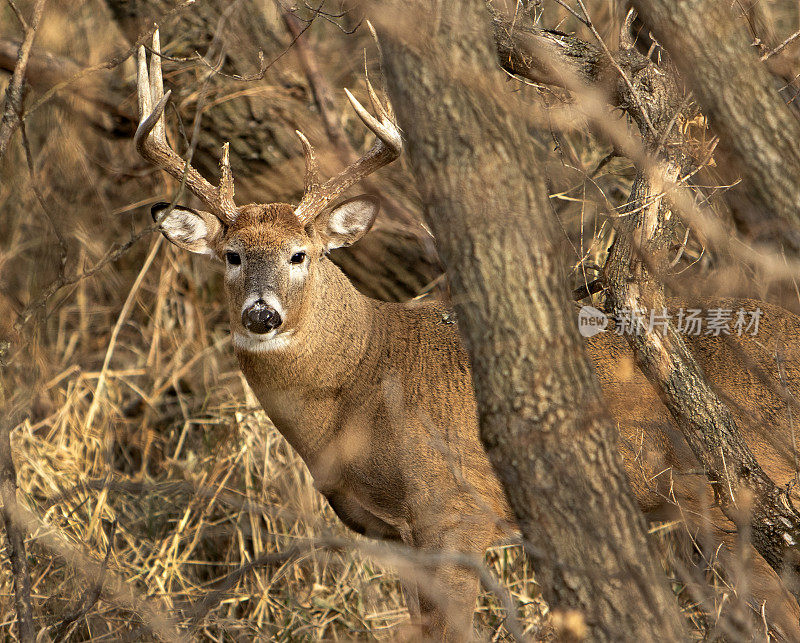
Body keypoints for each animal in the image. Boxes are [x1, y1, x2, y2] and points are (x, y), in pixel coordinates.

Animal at [136, 32, 800, 640]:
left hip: (741, 497)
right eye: (231, 255)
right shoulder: (395, 536)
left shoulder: (453, 515)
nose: (262, 315)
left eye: (302, 254)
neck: (360, 385)